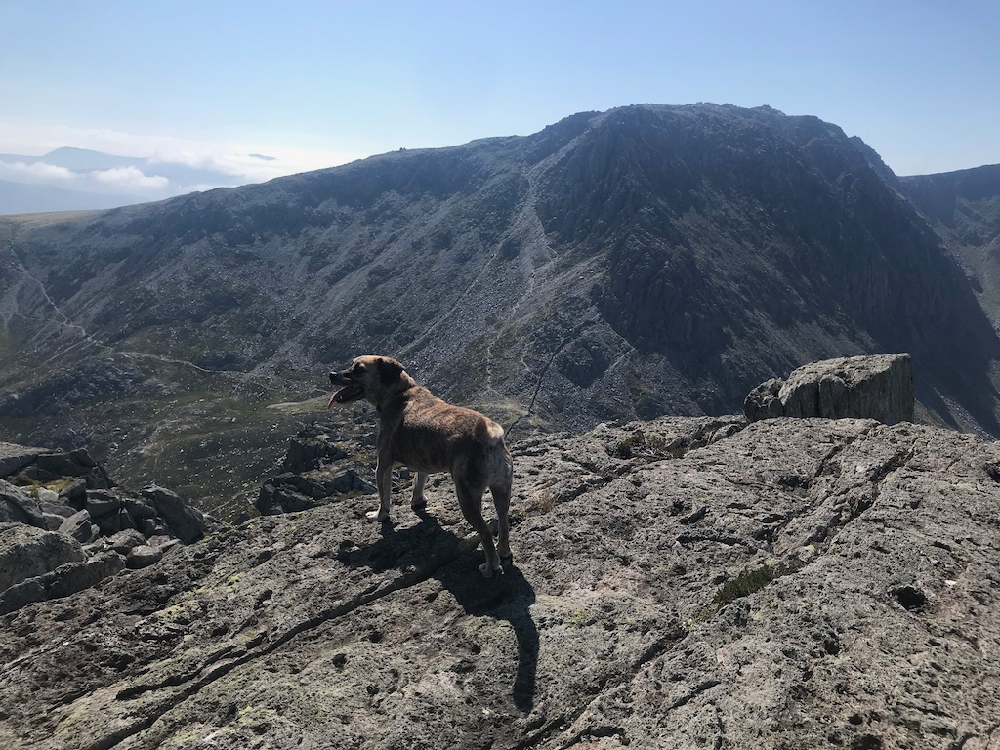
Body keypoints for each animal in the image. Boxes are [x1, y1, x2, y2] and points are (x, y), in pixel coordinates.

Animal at [330, 356, 516, 580]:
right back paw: (504, 552)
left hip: (467, 497)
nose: (332, 375)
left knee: (486, 533)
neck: (400, 393)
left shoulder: (383, 464)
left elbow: (384, 497)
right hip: (502, 489)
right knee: (503, 523)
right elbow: (419, 481)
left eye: (359, 369)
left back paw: (490, 567)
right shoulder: (423, 464)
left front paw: (379, 515)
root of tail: (491, 437)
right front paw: (417, 501)